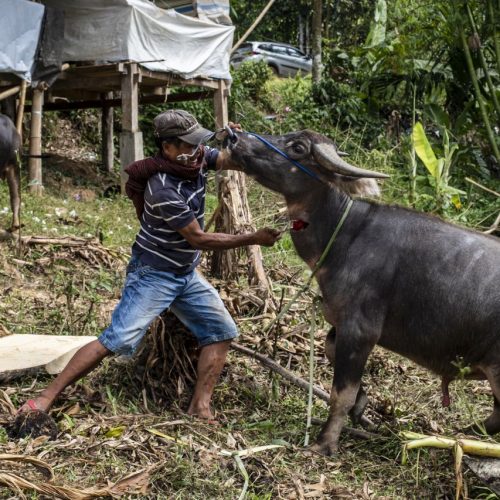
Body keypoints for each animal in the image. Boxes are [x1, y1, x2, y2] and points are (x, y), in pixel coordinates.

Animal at [223, 130, 500, 458]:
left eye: (298, 148)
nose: (234, 136)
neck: (346, 235)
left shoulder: (360, 330)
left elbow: (340, 394)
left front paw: (325, 443)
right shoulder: (340, 322)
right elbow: (332, 353)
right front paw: (361, 403)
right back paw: (464, 436)